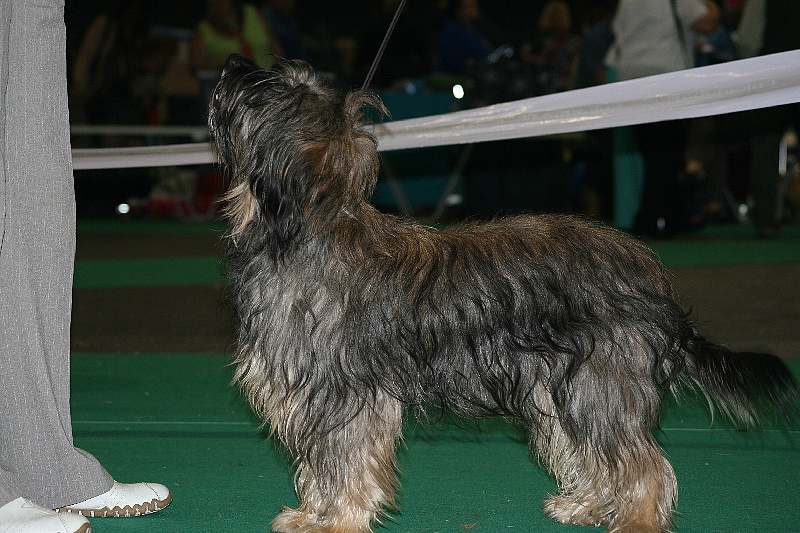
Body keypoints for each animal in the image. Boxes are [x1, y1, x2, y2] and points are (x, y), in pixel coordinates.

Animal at [208, 55, 800, 532]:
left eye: (267, 87)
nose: (233, 65)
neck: (303, 226)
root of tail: (651, 276)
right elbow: (319, 464)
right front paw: (311, 514)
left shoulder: (344, 393)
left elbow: (344, 463)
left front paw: (336, 521)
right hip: (558, 389)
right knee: (592, 453)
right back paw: (585, 506)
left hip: (599, 384)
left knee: (641, 463)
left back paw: (636, 521)